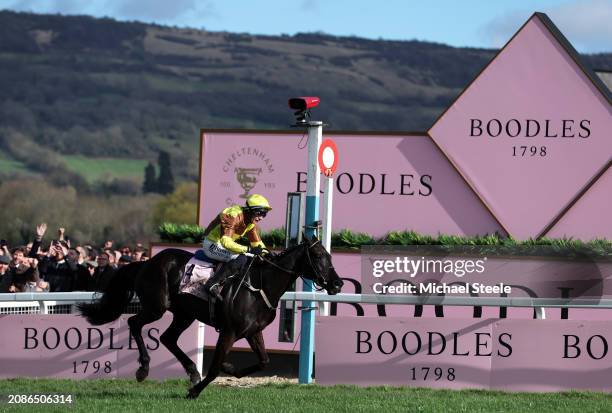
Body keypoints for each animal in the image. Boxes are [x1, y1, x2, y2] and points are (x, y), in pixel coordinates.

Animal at [78, 237, 342, 398]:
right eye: (318, 255)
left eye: (329, 255)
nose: (337, 283)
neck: (260, 286)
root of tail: (146, 262)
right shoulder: (229, 331)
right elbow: (214, 369)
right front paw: (195, 392)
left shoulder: (253, 331)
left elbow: (264, 361)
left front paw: (229, 367)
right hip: (157, 306)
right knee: (135, 323)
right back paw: (143, 368)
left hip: (184, 314)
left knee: (167, 338)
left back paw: (192, 372)